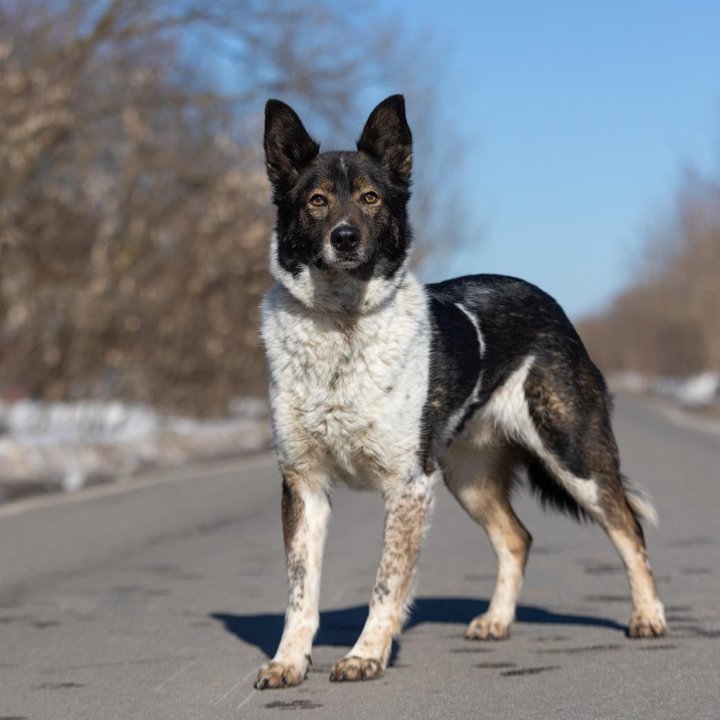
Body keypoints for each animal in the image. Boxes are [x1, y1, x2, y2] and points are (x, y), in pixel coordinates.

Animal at [255, 94, 668, 688]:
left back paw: (648, 617)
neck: (343, 325)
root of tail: (550, 304)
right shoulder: (304, 484)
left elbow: (386, 582)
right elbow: (300, 590)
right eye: (316, 201)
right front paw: (289, 662)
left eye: (370, 198)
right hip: (468, 477)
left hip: (574, 456)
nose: (345, 237)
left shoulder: (408, 486)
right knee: (518, 539)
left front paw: (365, 655)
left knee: (629, 529)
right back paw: (497, 621)